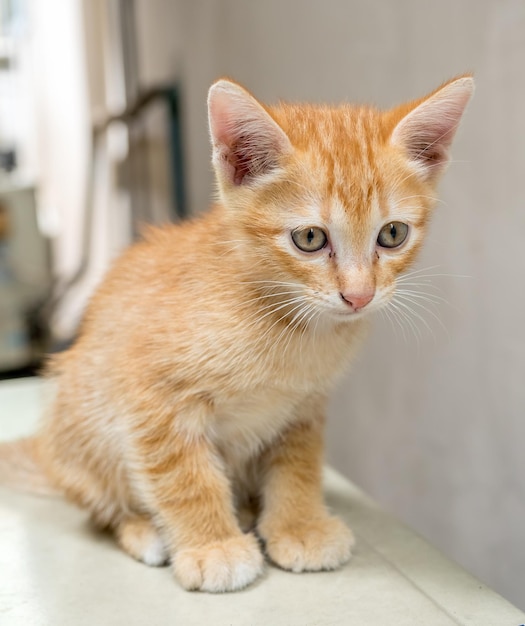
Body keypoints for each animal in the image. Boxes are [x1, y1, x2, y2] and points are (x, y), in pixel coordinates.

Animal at [0, 74, 472, 588]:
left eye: (392, 234)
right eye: (309, 238)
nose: (359, 296)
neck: (286, 322)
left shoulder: (305, 405)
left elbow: (299, 465)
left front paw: (299, 526)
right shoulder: (149, 397)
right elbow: (182, 473)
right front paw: (213, 546)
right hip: (84, 429)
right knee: (103, 506)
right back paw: (144, 528)